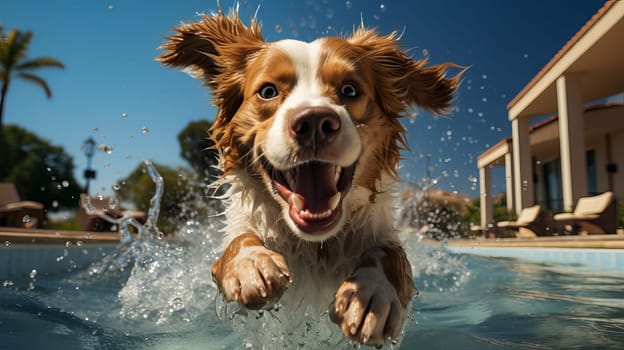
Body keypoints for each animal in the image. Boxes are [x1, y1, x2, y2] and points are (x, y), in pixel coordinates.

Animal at [158, 10, 460, 348]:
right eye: (268, 91)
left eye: (349, 90)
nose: (314, 122)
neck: (316, 245)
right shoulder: (232, 242)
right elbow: (238, 241)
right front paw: (251, 263)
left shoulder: (381, 234)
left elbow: (389, 254)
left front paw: (372, 293)